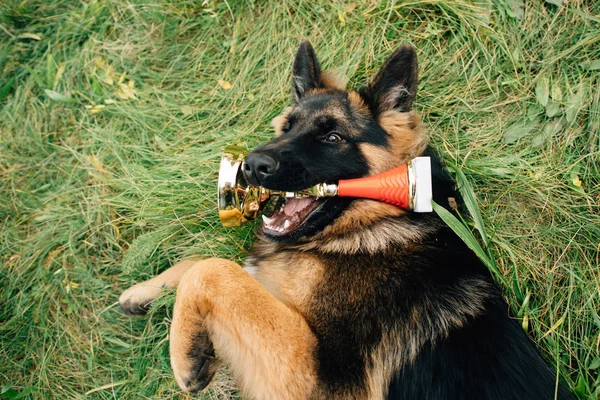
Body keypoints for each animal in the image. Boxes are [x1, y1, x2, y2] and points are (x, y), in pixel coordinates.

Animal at [119, 41, 576, 400]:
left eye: (333, 137)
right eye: (287, 127)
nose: (249, 166)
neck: (371, 225)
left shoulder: (319, 378)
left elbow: (216, 270)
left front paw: (185, 353)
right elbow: (210, 265)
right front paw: (147, 291)